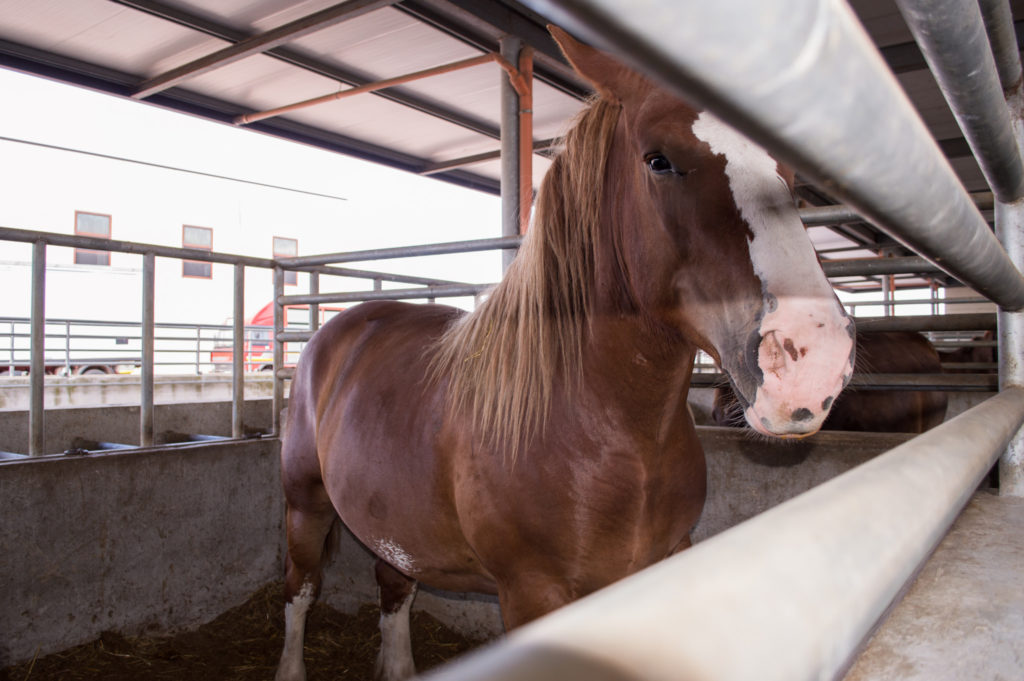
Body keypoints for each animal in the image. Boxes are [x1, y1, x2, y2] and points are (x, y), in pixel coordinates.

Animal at [274, 26, 855, 681]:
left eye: (787, 174)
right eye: (658, 159)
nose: (812, 358)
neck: (601, 431)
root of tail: (339, 330)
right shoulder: (533, 594)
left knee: (394, 586)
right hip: (304, 506)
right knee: (299, 590)